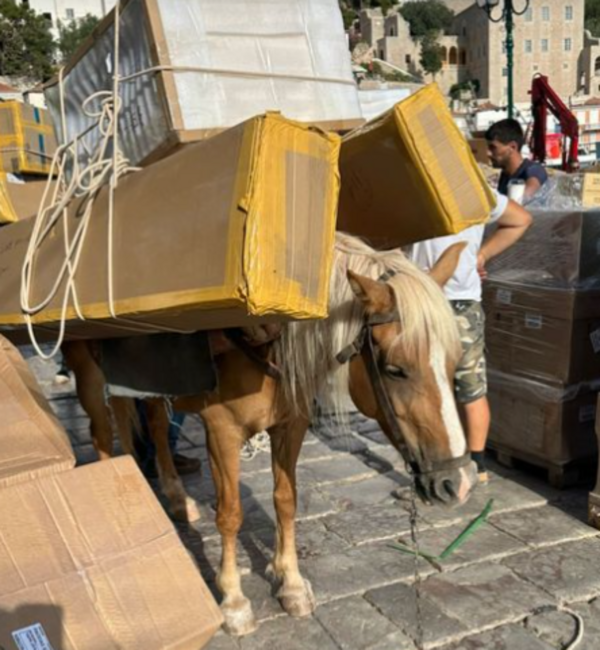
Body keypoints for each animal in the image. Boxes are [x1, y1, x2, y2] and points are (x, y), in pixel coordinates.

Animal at [61, 233, 474, 632]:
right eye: (395, 369)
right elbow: (230, 513)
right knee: (103, 434)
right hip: (88, 375)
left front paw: (290, 582)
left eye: (455, 360)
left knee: (155, 426)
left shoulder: (291, 426)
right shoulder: (222, 432)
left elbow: (286, 501)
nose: (457, 483)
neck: (267, 342)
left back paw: (174, 497)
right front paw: (233, 601)